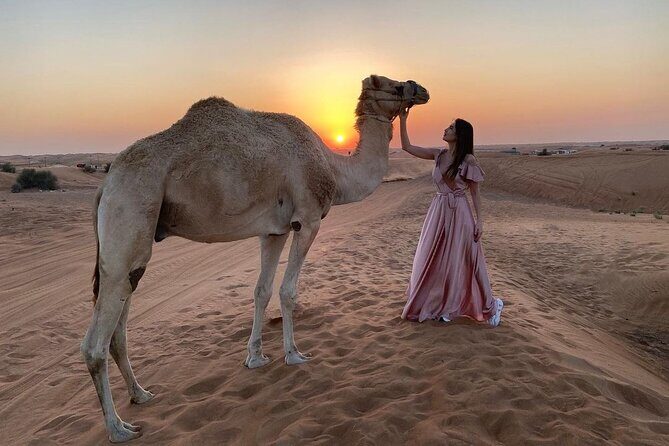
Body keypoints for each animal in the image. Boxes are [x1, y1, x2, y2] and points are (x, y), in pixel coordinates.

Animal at [81, 74, 429, 442]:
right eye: (394, 86)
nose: (421, 90)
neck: (334, 168)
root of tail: (105, 184)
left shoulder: (275, 231)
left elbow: (261, 291)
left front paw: (256, 357)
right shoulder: (308, 219)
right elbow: (288, 291)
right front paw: (294, 354)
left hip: (131, 244)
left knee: (118, 329)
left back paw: (141, 394)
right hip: (130, 210)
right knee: (95, 343)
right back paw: (118, 428)